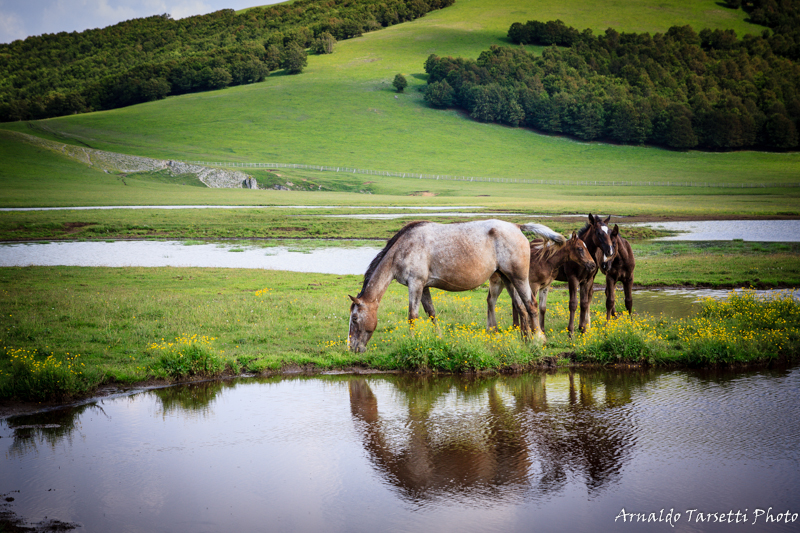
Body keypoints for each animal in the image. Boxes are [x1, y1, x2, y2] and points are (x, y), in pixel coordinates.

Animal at [348, 218, 552, 352]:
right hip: (507, 278)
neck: (403, 249)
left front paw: (411, 343)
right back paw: (525, 341)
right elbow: (431, 313)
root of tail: (516, 227)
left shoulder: (415, 284)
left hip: (518, 278)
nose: (352, 347)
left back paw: (538, 340)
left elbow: (412, 316)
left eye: (355, 318)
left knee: (531, 305)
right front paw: (438, 338)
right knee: (521, 307)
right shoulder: (424, 287)